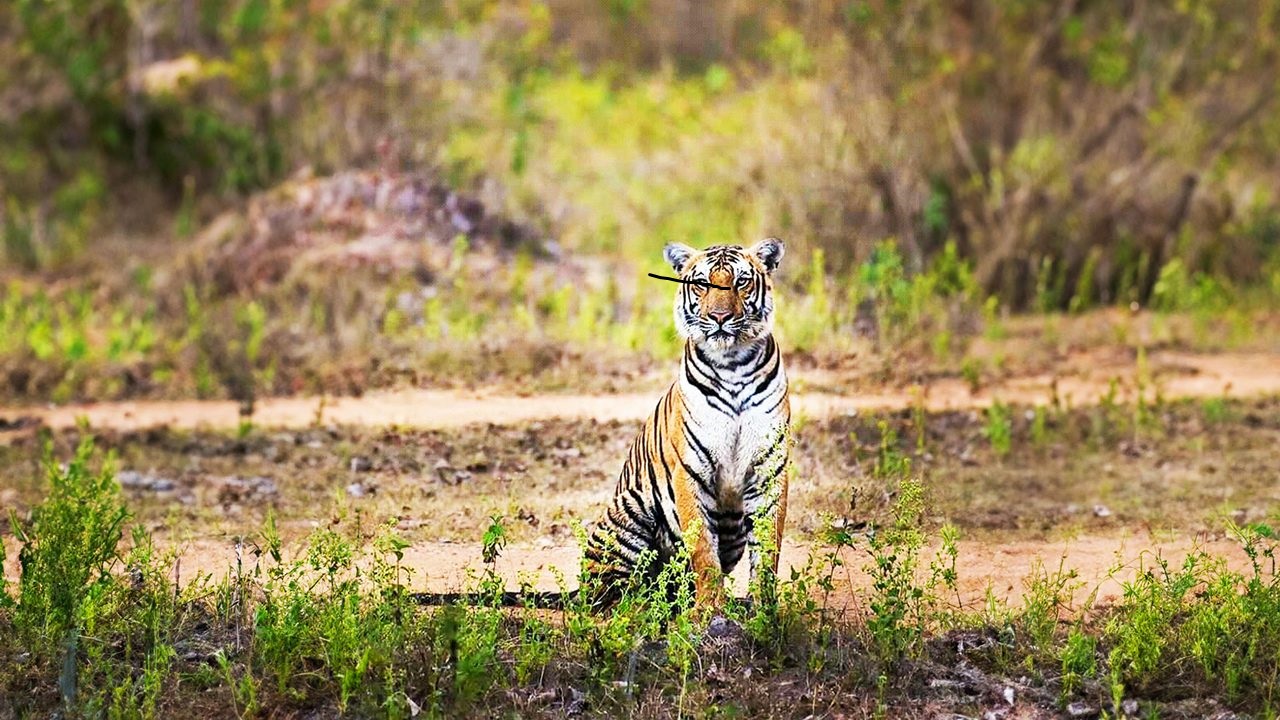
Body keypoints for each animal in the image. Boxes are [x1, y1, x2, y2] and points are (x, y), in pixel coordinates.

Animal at [583, 239, 790, 610]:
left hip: (733, 526)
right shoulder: (691, 470)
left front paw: (764, 610)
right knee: (612, 593)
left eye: (741, 282)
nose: (719, 317)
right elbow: (703, 549)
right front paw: (709, 610)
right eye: (702, 283)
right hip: (634, 504)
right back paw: (646, 608)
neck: (732, 364)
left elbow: (769, 548)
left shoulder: (770, 469)